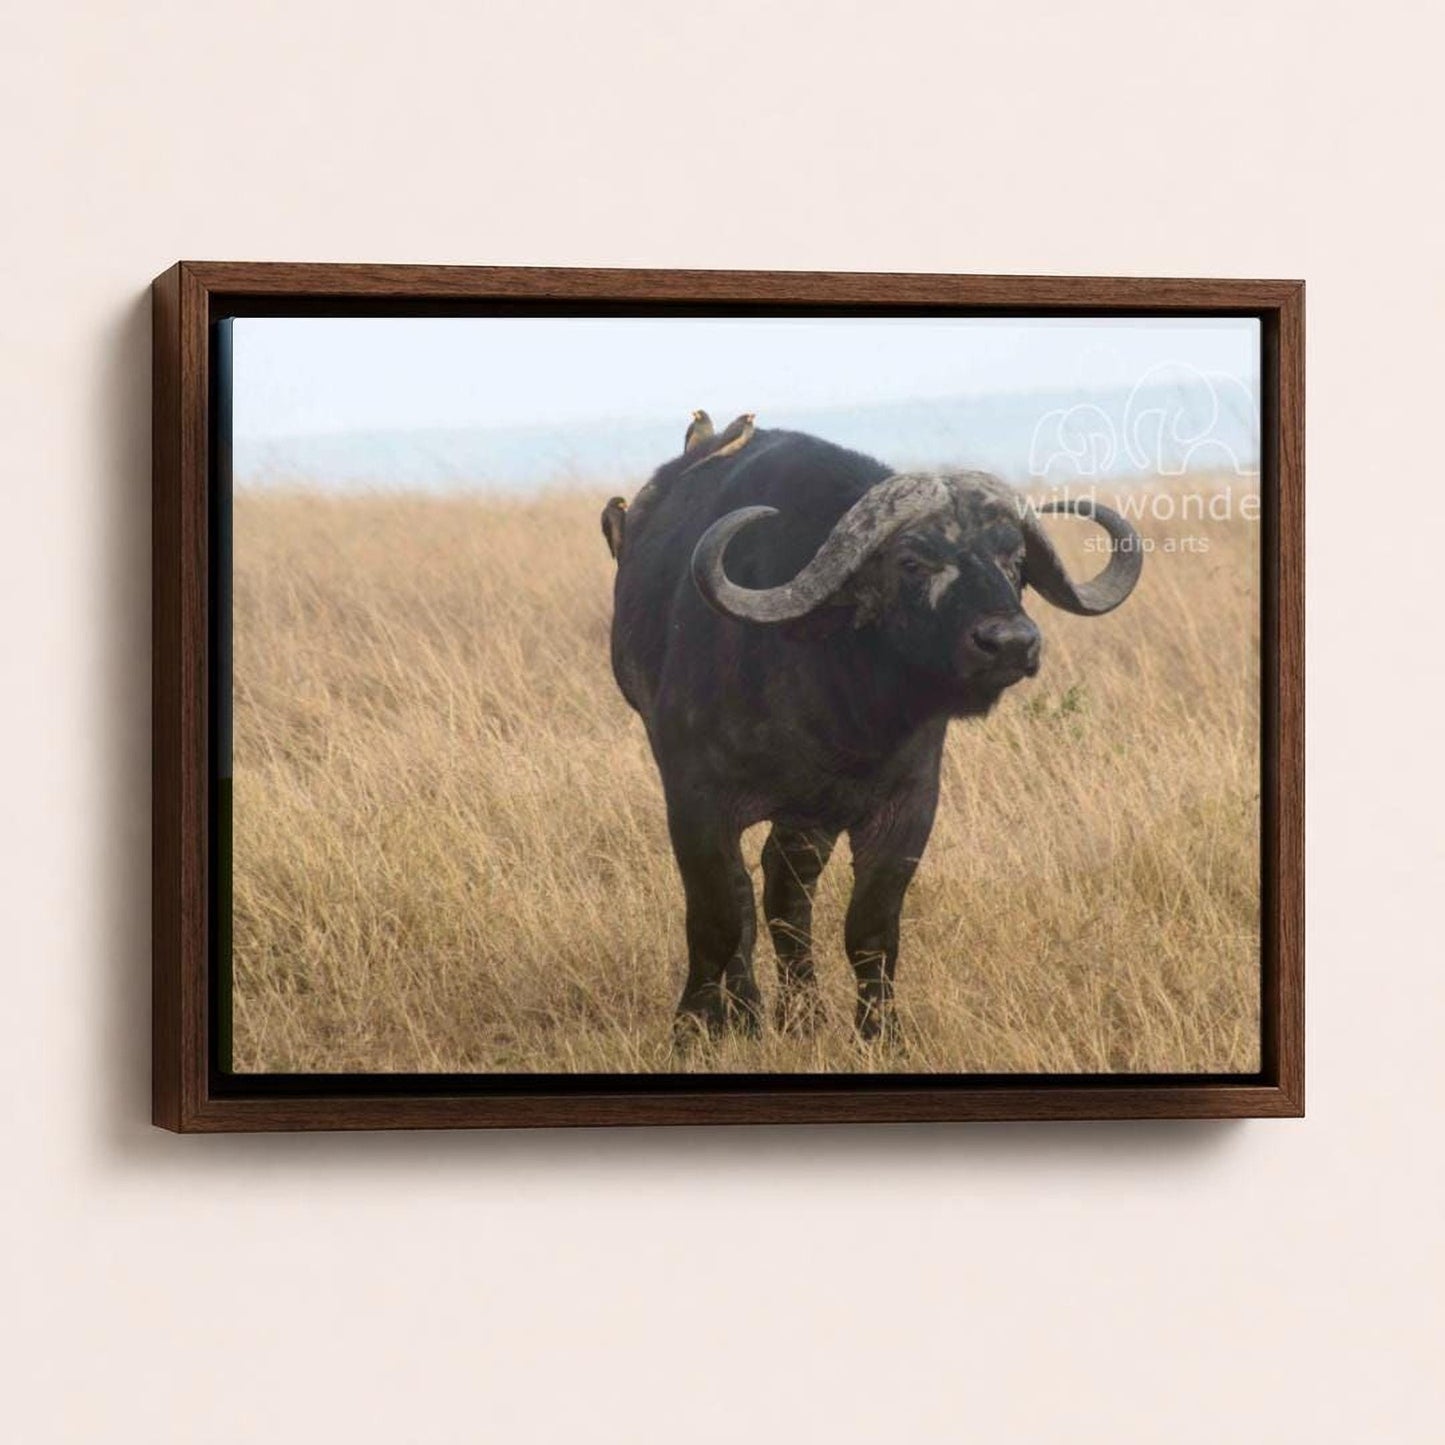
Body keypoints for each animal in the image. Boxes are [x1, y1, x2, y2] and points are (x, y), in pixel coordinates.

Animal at [607, 428, 1143, 1042]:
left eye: (1015, 562)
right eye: (911, 561)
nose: (1010, 642)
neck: (835, 703)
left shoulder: (905, 806)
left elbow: (870, 925)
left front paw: (880, 1032)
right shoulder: (695, 801)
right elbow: (717, 917)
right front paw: (694, 1026)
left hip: (808, 820)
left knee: (786, 892)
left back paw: (803, 1013)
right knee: (747, 899)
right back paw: (749, 1011)